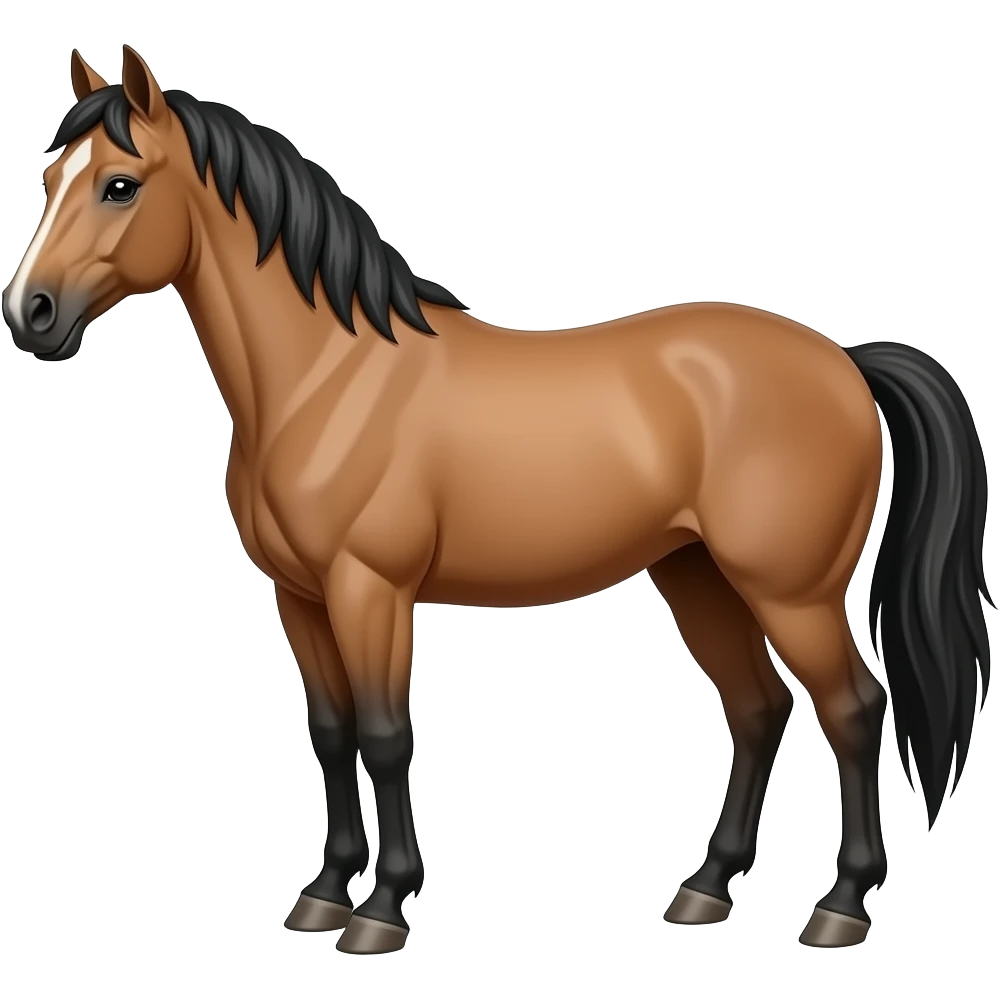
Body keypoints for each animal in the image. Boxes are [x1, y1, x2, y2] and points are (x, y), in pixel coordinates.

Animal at [2, 45, 994, 955]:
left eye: (120, 185)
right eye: (53, 178)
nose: (31, 314)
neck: (330, 375)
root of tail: (844, 362)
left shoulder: (371, 589)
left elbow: (385, 734)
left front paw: (381, 910)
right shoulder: (300, 596)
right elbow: (330, 732)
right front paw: (322, 895)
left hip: (791, 591)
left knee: (853, 710)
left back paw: (839, 908)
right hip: (697, 576)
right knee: (758, 711)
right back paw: (705, 891)